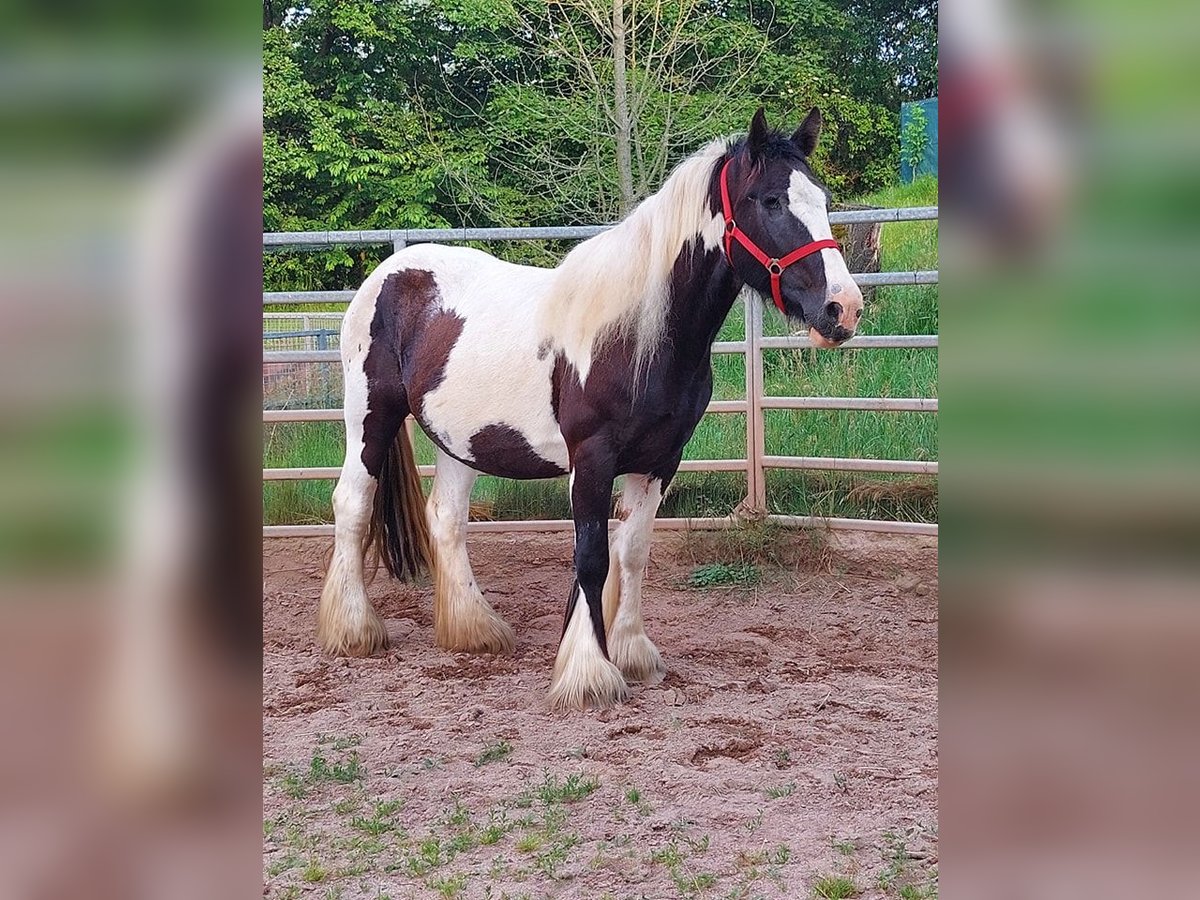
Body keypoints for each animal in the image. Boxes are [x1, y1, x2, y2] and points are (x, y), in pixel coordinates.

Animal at [319, 107, 864, 710]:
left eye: (823, 198)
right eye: (770, 200)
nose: (843, 308)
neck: (636, 333)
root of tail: (389, 274)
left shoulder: (660, 461)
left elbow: (633, 551)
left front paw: (631, 652)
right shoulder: (593, 457)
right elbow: (592, 556)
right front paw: (588, 672)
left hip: (460, 439)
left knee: (447, 518)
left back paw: (475, 630)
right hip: (370, 417)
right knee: (352, 504)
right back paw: (355, 631)